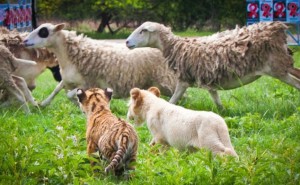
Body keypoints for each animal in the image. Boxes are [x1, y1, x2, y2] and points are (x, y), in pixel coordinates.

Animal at [24, 23, 178, 106]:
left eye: (43, 32)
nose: (25, 41)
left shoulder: (88, 83)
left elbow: (69, 95)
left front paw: (78, 103)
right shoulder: (68, 79)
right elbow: (57, 90)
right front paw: (43, 103)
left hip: (165, 81)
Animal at [125, 21, 300, 108]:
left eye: (143, 30)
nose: (126, 42)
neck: (177, 47)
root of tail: (279, 28)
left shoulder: (184, 80)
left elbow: (173, 100)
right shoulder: (209, 80)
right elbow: (216, 99)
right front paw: (223, 112)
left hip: (277, 68)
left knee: (297, 83)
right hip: (284, 65)